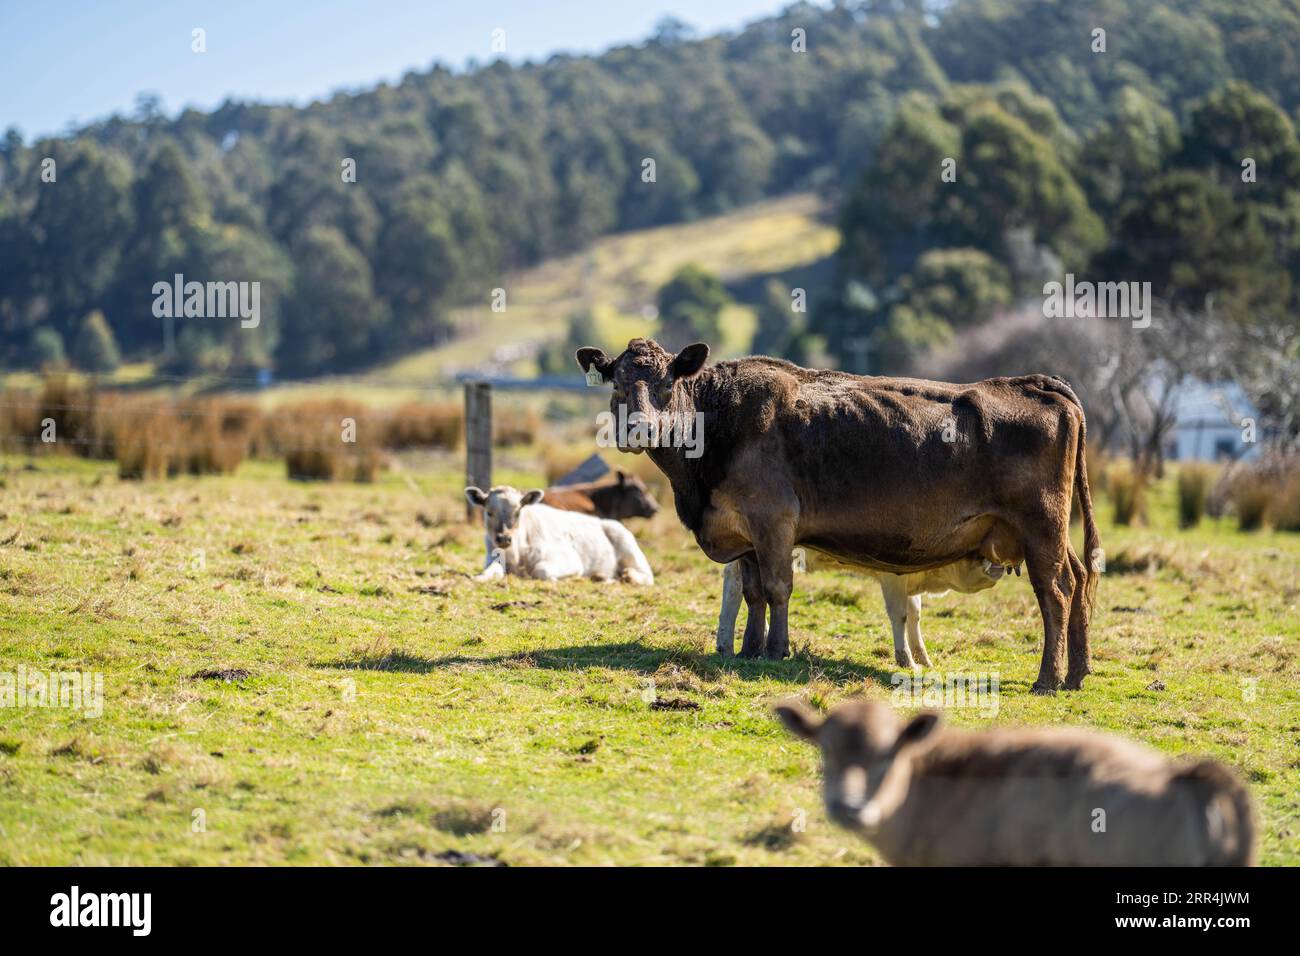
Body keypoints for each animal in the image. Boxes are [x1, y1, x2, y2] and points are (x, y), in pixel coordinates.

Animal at [464, 485, 655, 585]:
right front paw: (479, 577)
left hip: (628, 547)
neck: (517, 555)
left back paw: (626, 576)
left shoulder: (570, 560)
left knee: (647, 576)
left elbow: (541, 569)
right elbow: (490, 571)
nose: (503, 538)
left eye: (518, 512)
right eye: (489, 512)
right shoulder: (493, 559)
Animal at [717, 554, 1019, 668]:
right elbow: (900, 614)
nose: (1000, 566)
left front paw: (923, 658)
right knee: (736, 586)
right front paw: (906, 660)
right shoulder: (893, 577)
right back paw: (728, 644)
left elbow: (915, 614)